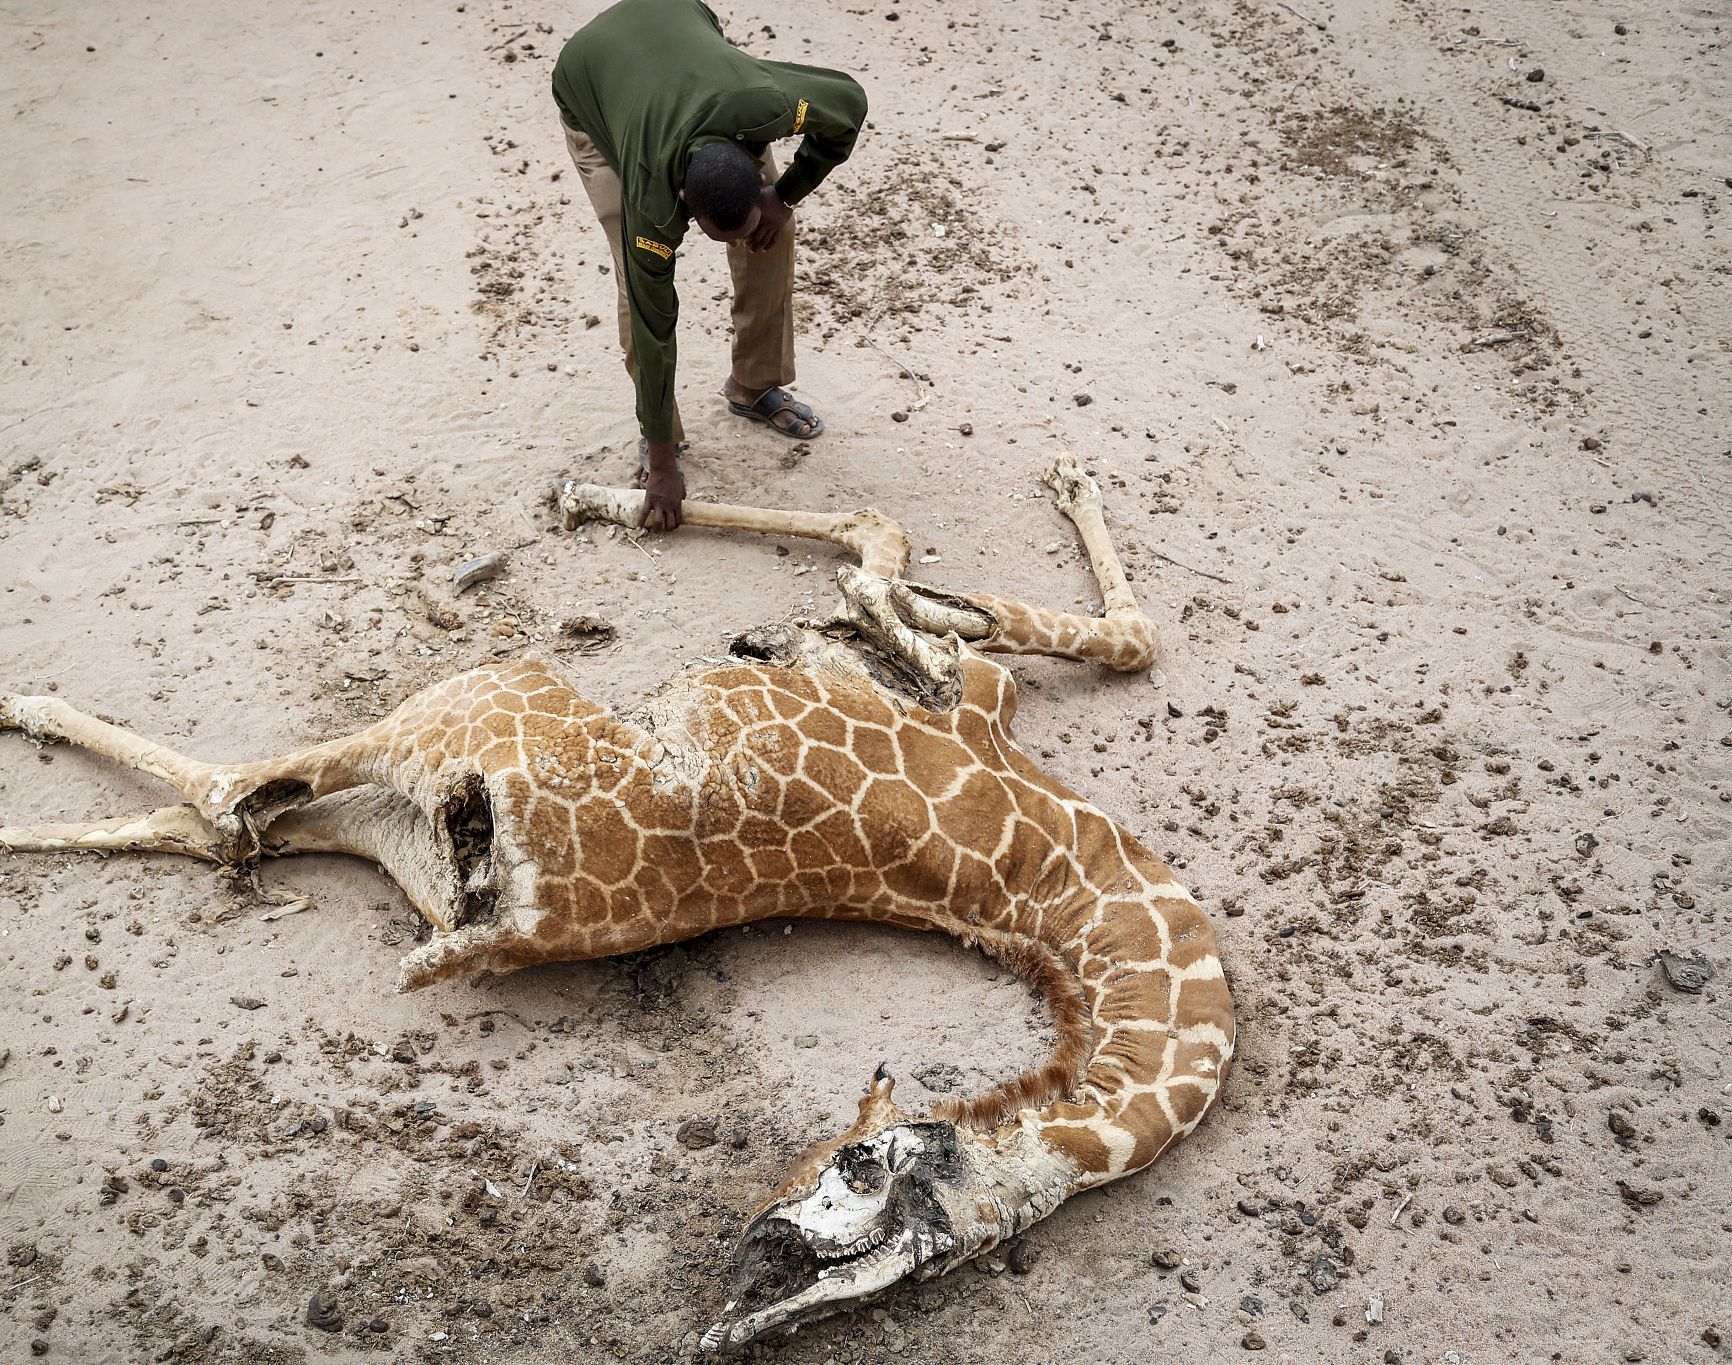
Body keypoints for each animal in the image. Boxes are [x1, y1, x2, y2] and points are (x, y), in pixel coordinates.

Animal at [6, 453, 1240, 1351]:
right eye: (856, 1168)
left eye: (929, 1260)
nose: (737, 1306)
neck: (1074, 891)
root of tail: (512, 913)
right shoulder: (984, 701)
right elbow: (966, 587)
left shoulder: (972, 694)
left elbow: (902, 560)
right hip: (412, 767)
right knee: (235, 814)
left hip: (440, 731)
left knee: (228, 808)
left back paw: (27, 721)